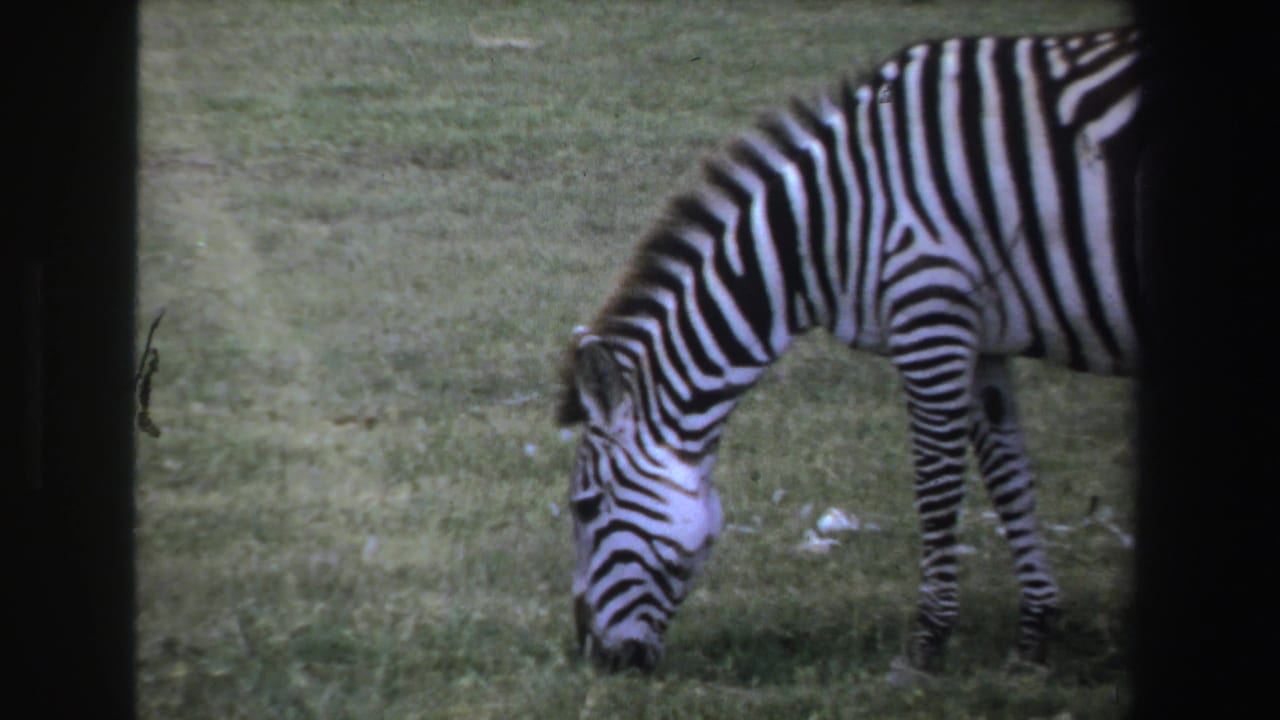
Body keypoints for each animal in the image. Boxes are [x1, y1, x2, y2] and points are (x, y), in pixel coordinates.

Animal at [557, 26, 1145, 673]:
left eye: (586, 507)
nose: (595, 658)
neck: (830, 224)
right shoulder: (982, 335)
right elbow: (1009, 478)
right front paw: (1034, 635)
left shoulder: (929, 314)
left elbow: (937, 486)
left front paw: (926, 645)